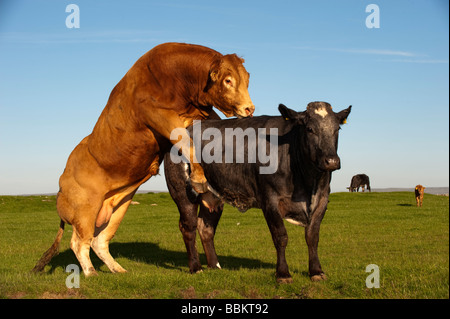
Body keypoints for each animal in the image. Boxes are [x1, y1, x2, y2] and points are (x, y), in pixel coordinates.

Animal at [33, 42, 255, 278]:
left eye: (246, 79)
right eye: (228, 80)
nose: (249, 108)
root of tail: (61, 182)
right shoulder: (159, 115)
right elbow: (185, 140)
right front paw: (199, 177)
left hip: (118, 206)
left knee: (99, 241)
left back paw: (118, 269)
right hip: (85, 212)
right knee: (79, 242)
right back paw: (91, 272)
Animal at [164, 102, 352, 282]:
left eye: (337, 129)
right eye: (310, 129)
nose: (331, 161)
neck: (307, 183)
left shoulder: (322, 199)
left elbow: (312, 236)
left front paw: (316, 271)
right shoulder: (270, 200)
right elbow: (280, 237)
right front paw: (283, 273)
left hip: (213, 197)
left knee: (206, 228)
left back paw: (215, 266)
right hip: (183, 192)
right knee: (189, 227)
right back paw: (196, 267)